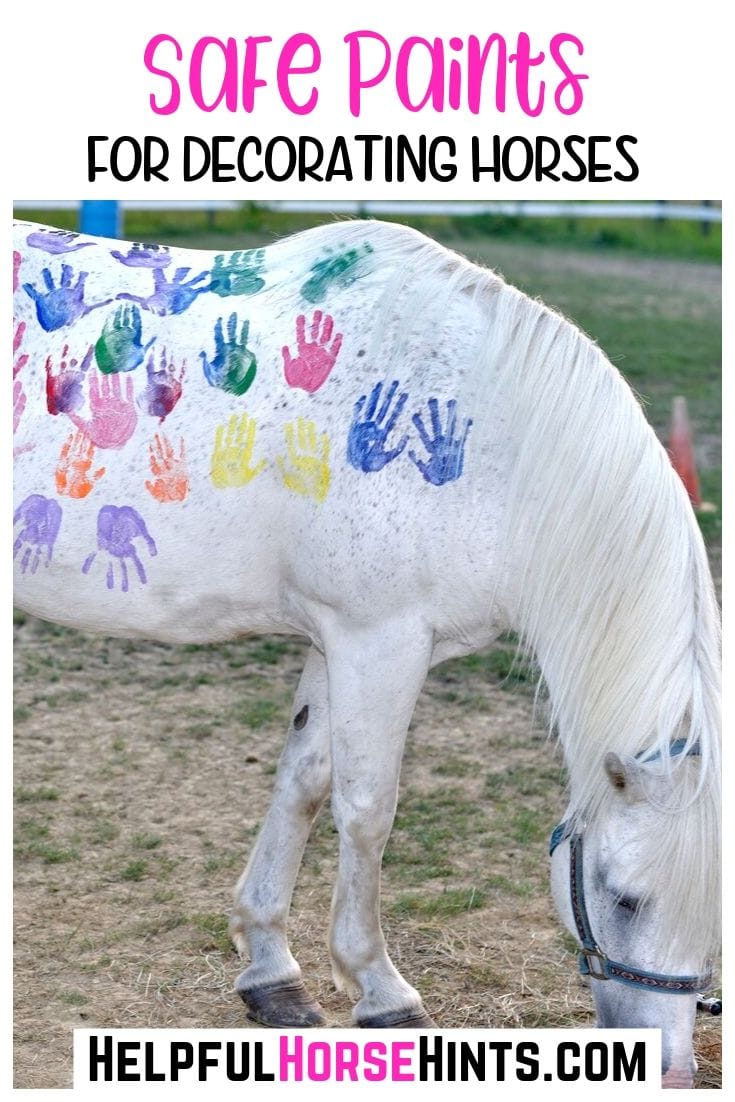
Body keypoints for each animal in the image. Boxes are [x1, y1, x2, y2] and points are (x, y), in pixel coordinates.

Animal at [13, 217, 720, 1087]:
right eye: (621, 898)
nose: (668, 1070)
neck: (499, 443)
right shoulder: (377, 639)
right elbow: (365, 809)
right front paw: (380, 991)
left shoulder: (337, 639)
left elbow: (305, 782)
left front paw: (270, 971)